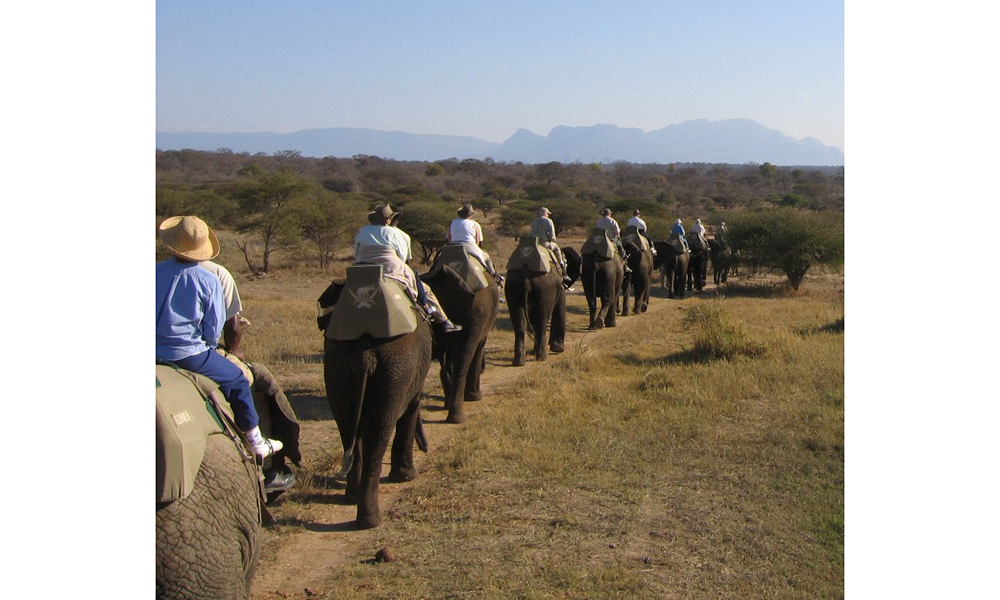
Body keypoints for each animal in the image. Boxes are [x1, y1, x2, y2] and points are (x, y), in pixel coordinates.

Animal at [318, 280, 434, 529]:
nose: (426, 448)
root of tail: (365, 355)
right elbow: (411, 409)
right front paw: (407, 477)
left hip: (337, 367)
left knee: (348, 426)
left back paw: (352, 498)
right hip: (396, 368)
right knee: (379, 430)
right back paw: (371, 521)